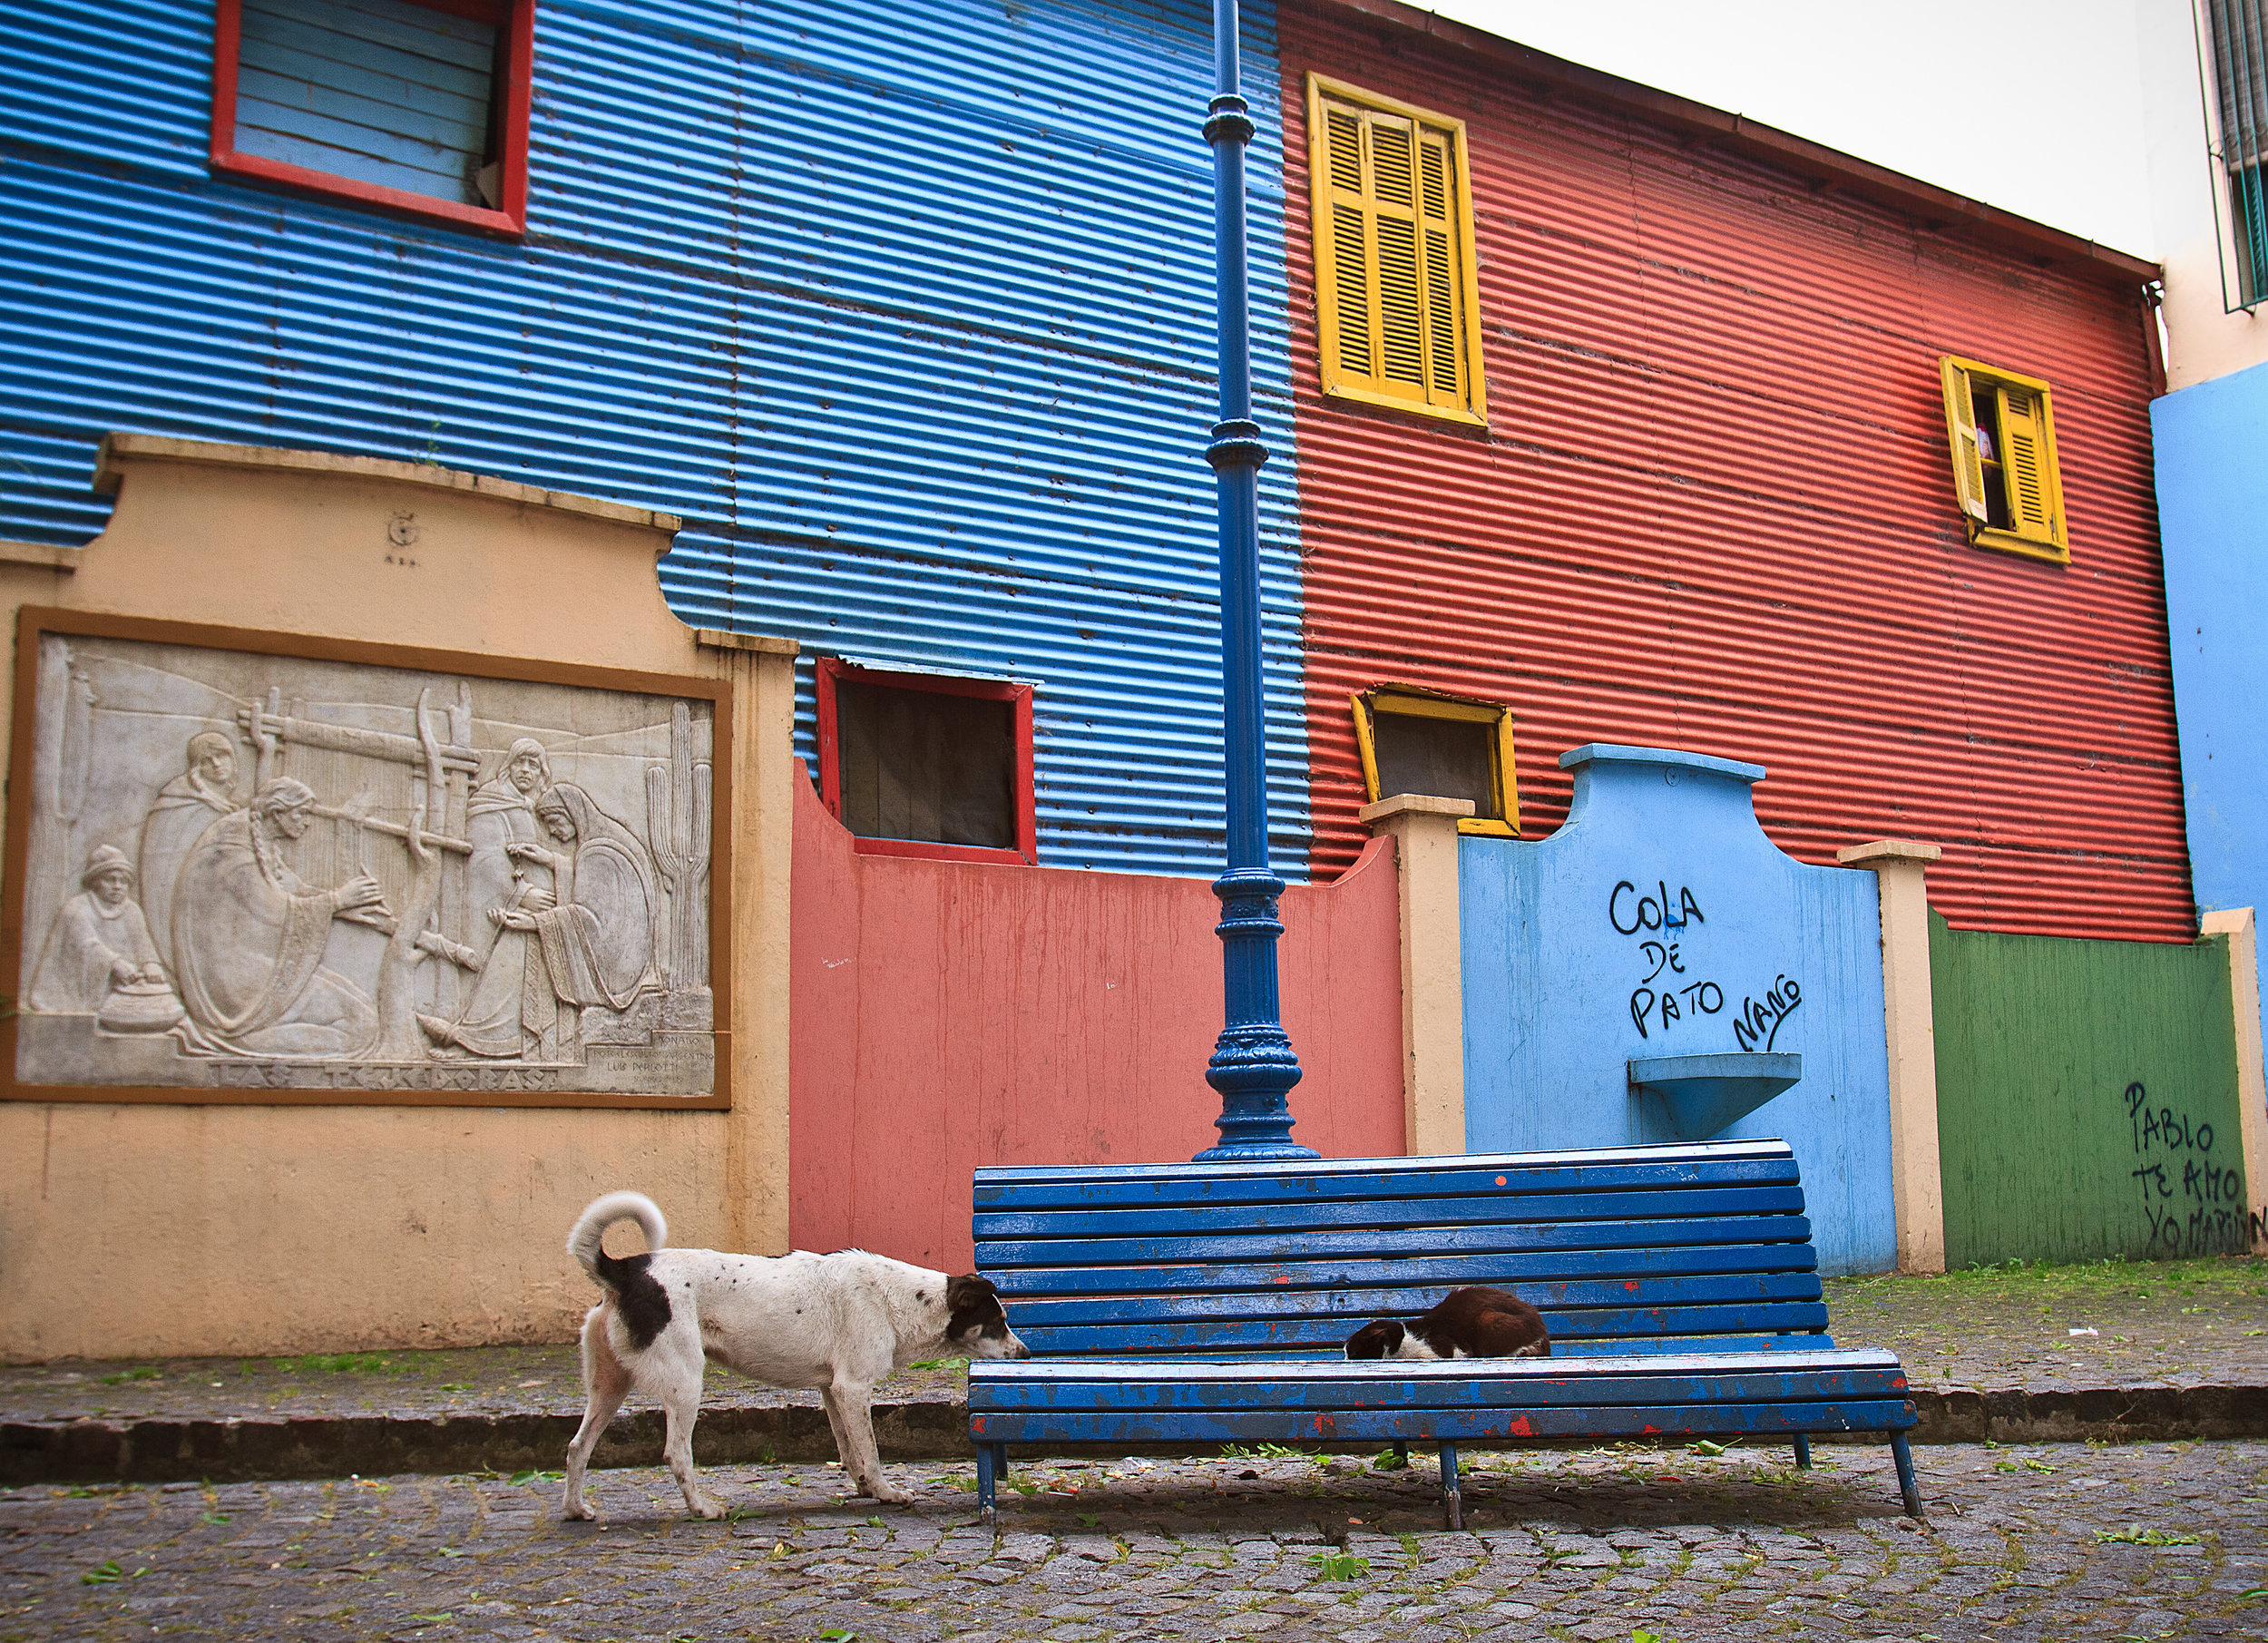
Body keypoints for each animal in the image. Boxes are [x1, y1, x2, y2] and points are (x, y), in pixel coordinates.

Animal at [562, 1188, 1034, 1524]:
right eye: (997, 1322)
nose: (1025, 1352)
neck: (896, 1300)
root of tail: (627, 1269)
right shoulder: (853, 1388)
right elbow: (870, 1450)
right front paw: (887, 1492)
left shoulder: (832, 1390)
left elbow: (849, 1451)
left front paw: (866, 1489)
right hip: (685, 1382)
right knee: (676, 1454)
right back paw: (703, 1509)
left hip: (609, 1387)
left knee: (576, 1446)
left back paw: (576, 1510)